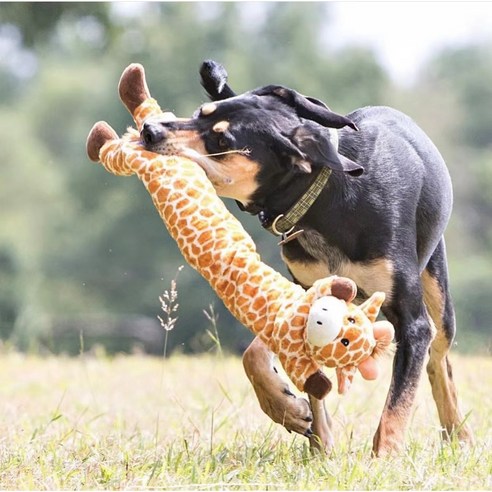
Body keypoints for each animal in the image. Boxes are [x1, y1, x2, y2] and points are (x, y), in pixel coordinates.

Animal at [140, 60, 474, 454]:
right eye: (198, 113)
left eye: (223, 142)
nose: (149, 129)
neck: (325, 193)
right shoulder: (305, 295)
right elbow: (260, 357)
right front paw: (304, 425)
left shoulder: (412, 321)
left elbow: (397, 407)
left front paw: (384, 457)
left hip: (437, 291)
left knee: (439, 359)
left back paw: (457, 433)